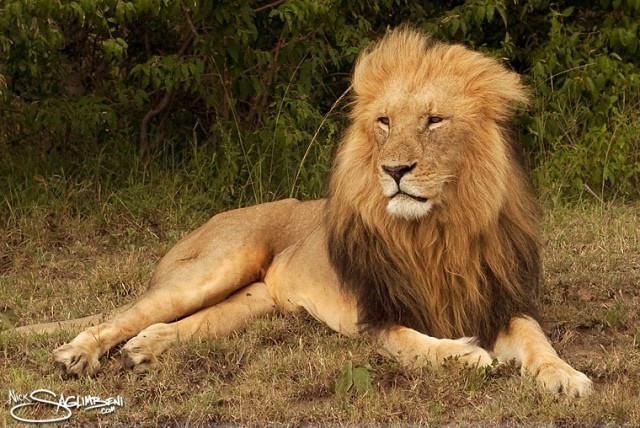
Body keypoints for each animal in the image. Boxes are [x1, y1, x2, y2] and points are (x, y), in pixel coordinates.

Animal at [17, 27, 592, 397]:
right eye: (385, 121)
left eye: (434, 121)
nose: (395, 170)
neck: (436, 233)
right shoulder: (372, 317)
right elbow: (413, 341)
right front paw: (467, 354)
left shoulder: (500, 299)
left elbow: (536, 338)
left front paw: (565, 377)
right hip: (213, 267)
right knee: (122, 315)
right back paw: (76, 355)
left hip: (253, 301)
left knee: (176, 324)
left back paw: (143, 350)